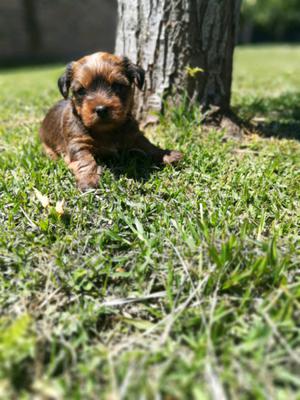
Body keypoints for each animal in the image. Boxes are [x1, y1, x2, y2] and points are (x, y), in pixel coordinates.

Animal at [39, 51, 182, 191]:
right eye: (81, 91)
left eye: (117, 86)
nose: (101, 109)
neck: (106, 131)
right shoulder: (78, 142)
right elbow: (85, 160)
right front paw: (88, 180)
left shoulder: (134, 135)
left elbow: (148, 145)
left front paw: (165, 154)